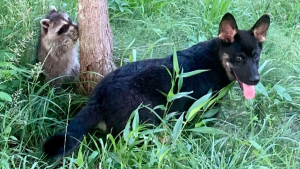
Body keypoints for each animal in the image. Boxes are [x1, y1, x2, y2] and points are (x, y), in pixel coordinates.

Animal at [43, 12, 270, 158]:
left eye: (256, 57)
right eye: (239, 58)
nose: (255, 80)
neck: (215, 59)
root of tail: (98, 99)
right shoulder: (205, 111)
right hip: (146, 120)